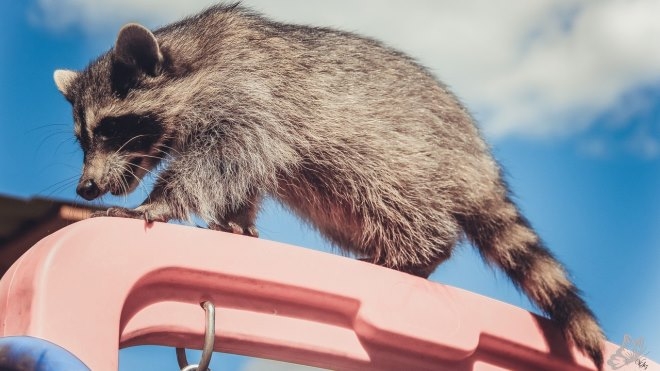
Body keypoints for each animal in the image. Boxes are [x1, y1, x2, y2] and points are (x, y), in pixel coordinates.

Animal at [55, 2, 604, 370]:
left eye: (109, 129)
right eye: (81, 138)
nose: (86, 188)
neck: (188, 56)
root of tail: (475, 162)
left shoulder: (246, 96)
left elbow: (219, 159)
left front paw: (160, 201)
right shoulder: (246, 113)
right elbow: (243, 174)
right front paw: (235, 220)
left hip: (401, 155)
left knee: (400, 204)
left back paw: (419, 250)